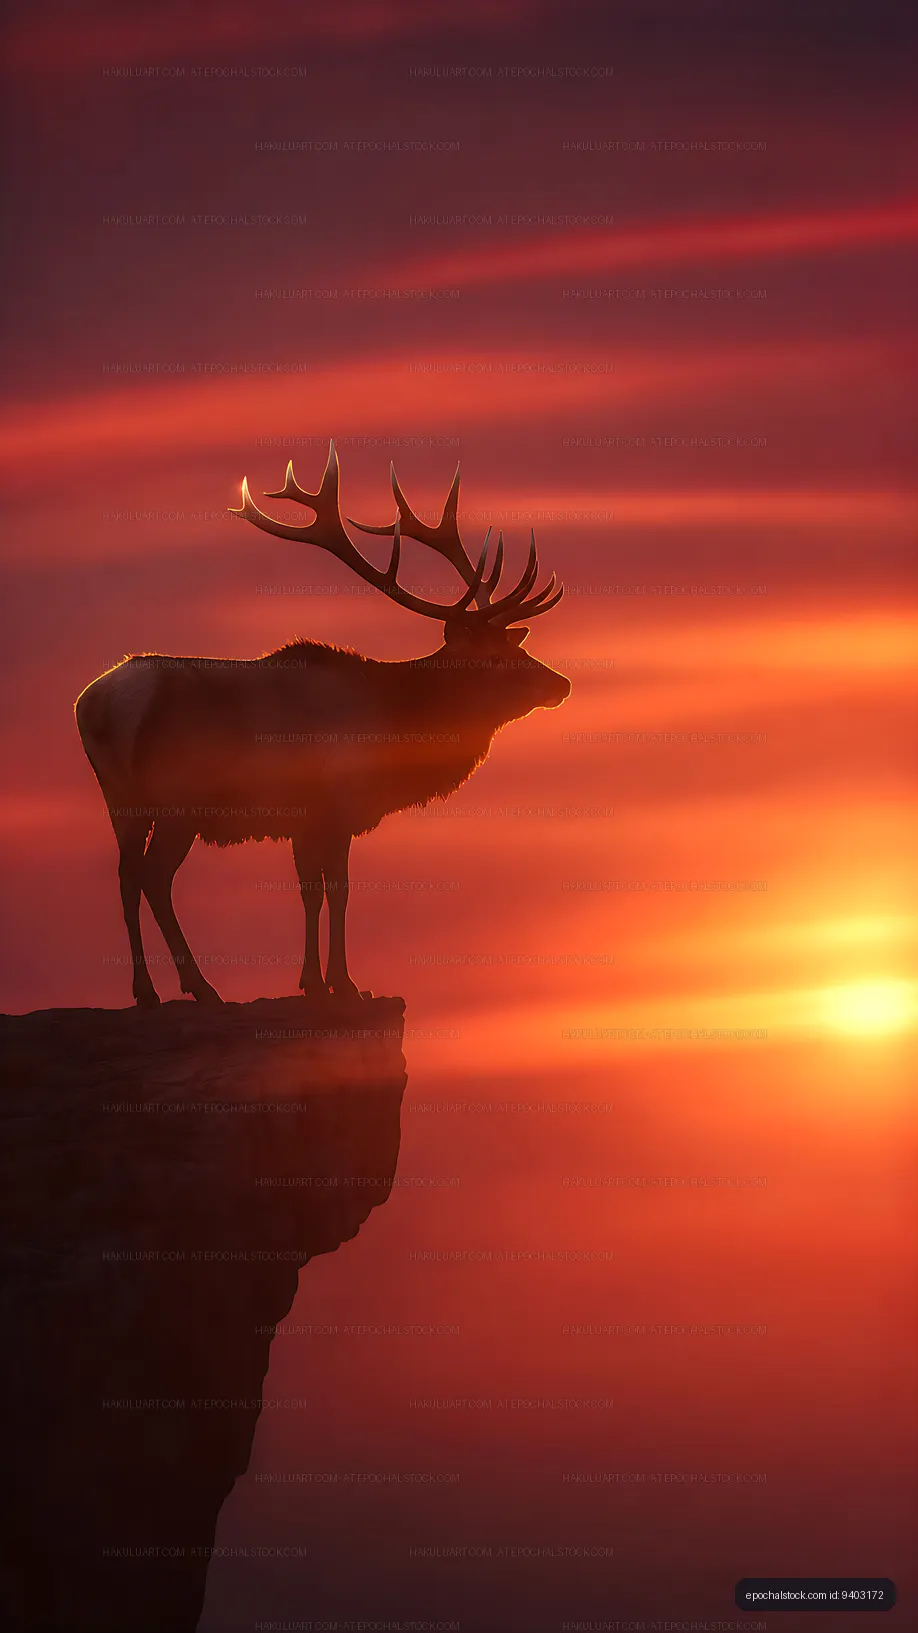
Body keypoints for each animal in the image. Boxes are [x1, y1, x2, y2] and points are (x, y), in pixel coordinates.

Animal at [75, 443, 570, 1007]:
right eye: (495, 658)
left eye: (518, 646)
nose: (561, 685)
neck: (395, 724)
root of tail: (96, 704)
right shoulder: (333, 805)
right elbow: (337, 890)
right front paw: (343, 983)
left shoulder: (305, 819)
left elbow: (310, 891)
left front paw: (315, 981)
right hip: (179, 798)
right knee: (155, 877)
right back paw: (201, 987)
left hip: (120, 797)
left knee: (126, 874)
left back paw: (146, 991)